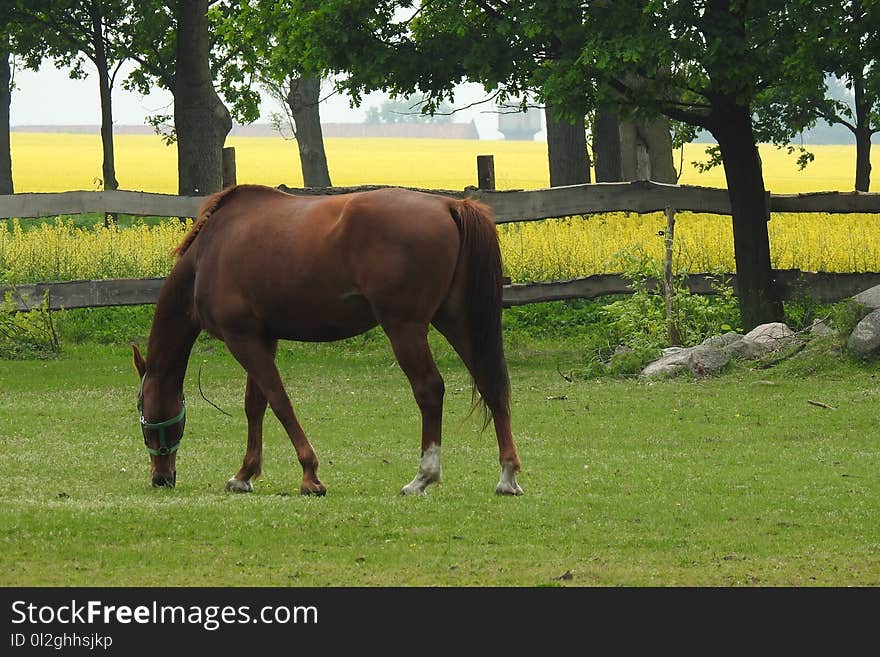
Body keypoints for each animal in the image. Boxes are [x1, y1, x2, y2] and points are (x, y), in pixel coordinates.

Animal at [132, 182, 524, 494]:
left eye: (141, 411)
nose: (161, 478)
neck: (209, 252)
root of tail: (449, 205)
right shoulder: (262, 338)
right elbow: (255, 405)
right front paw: (244, 474)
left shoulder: (241, 338)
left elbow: (279, 402)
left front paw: (309, 474)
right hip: (457, 321)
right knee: (491, 386)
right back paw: (507, 477)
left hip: (405, 327)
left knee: (429, 389)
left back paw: (423, 476)